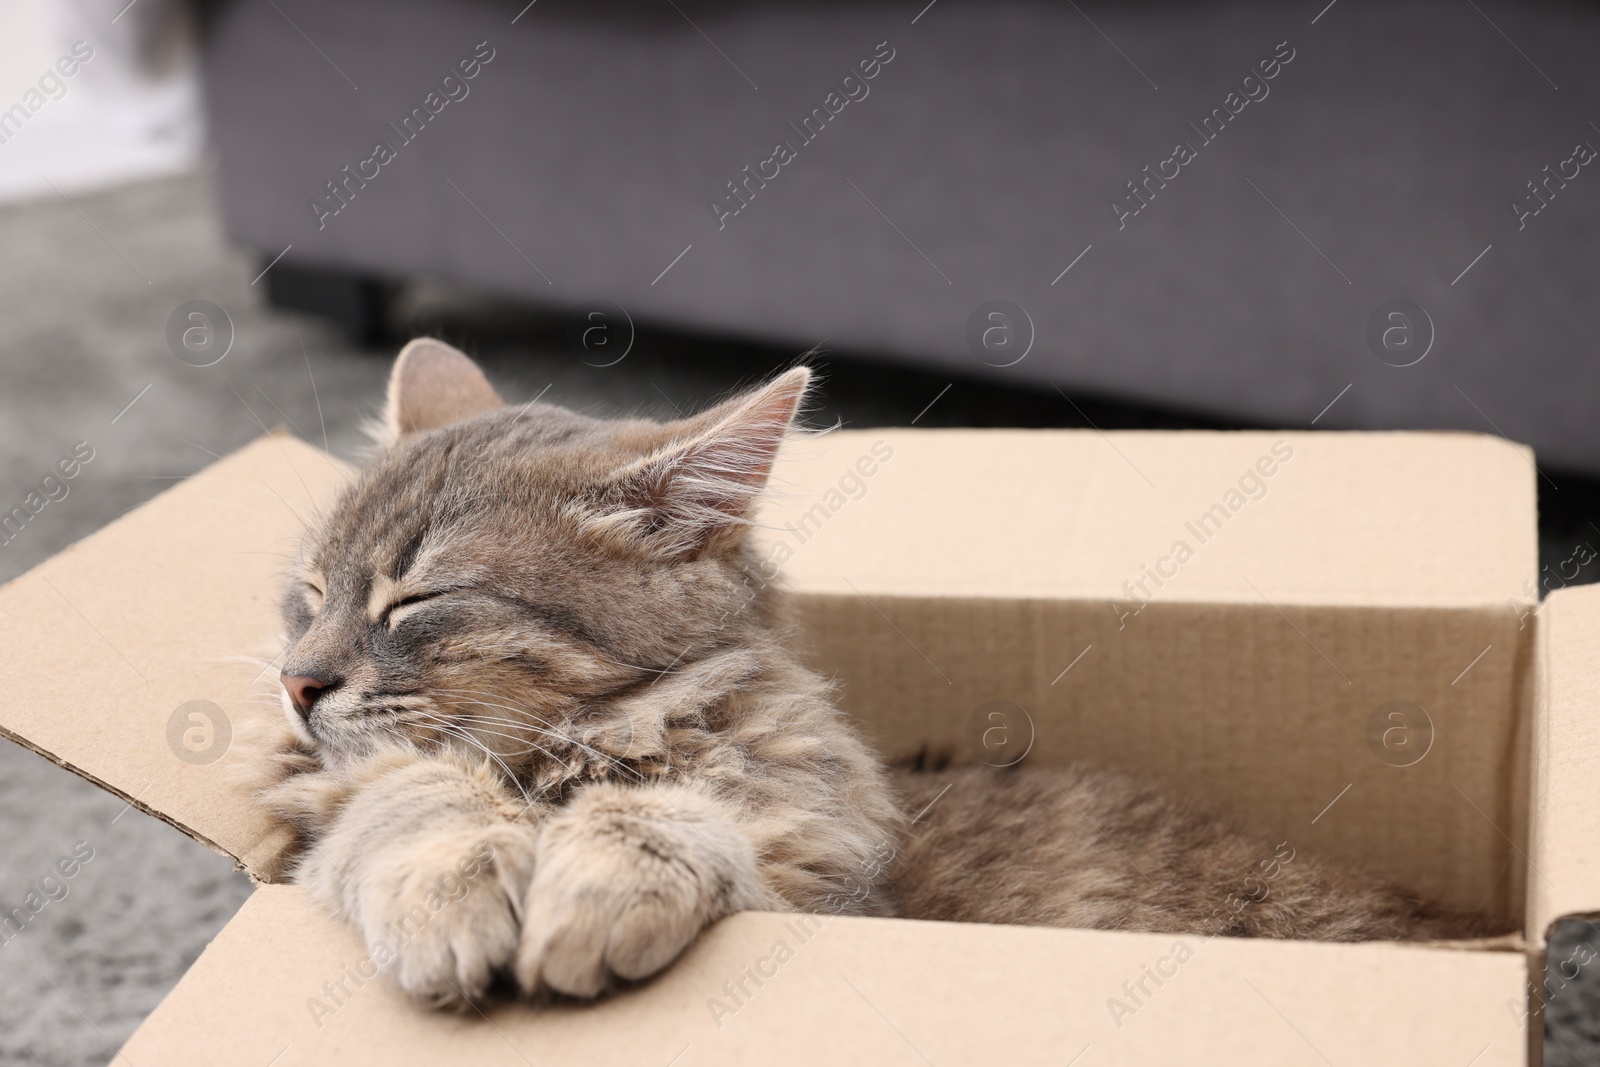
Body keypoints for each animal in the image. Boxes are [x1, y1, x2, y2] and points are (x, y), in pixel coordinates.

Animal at [246, 340, 1484, 1011]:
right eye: (309, 589)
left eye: (414, 600)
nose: (298, 681)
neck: (574, 756)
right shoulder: (337, 812)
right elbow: (410, 801)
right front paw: (452, 893)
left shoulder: (830, 891)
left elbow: (680, 819)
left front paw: (599, 882)